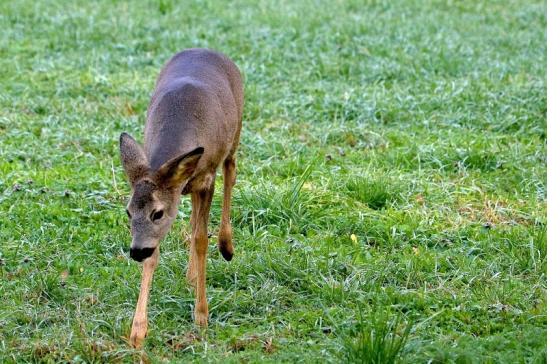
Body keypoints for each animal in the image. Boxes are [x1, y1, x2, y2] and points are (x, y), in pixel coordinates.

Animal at [119, 48, 244, 346]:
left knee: (231, 171)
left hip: (235, 131)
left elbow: (201, 240)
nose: (136, 251)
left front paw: (201, 316)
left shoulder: (206, 179)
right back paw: (191, 274)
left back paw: (226, 245)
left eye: (158, 212)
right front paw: (138, 331)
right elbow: (158, 251)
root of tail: (207, 50)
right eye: (128, 211)